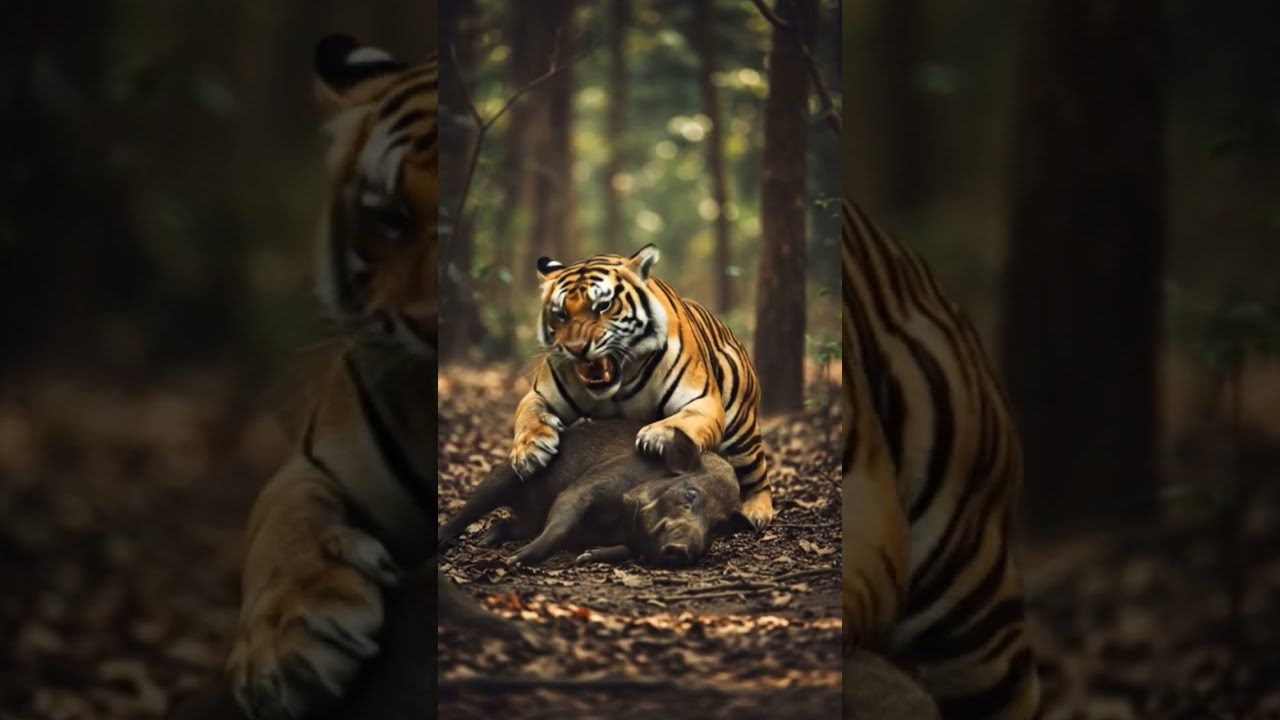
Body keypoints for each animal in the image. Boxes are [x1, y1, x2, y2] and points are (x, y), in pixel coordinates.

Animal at [437, 418, 739, 567]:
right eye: (690, 495)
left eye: (716, 526)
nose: (684, 550)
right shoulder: (589, 485)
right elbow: (562, 520)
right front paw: (513, 560)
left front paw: (585, 556)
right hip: (502, 478)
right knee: (467, 512)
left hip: (525, 522)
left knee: (506, 524)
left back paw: (486, 540)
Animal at [508, 245, 774, 530]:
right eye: (560, 314)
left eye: (602, 306)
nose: (576, 348)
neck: (620, 384)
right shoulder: (539, 395)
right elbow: (527, 416)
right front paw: (528, 451)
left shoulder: (701, 400)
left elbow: (684, 419)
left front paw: (657, 436)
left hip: (741, 429)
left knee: (757, 472)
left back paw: (757, 512)